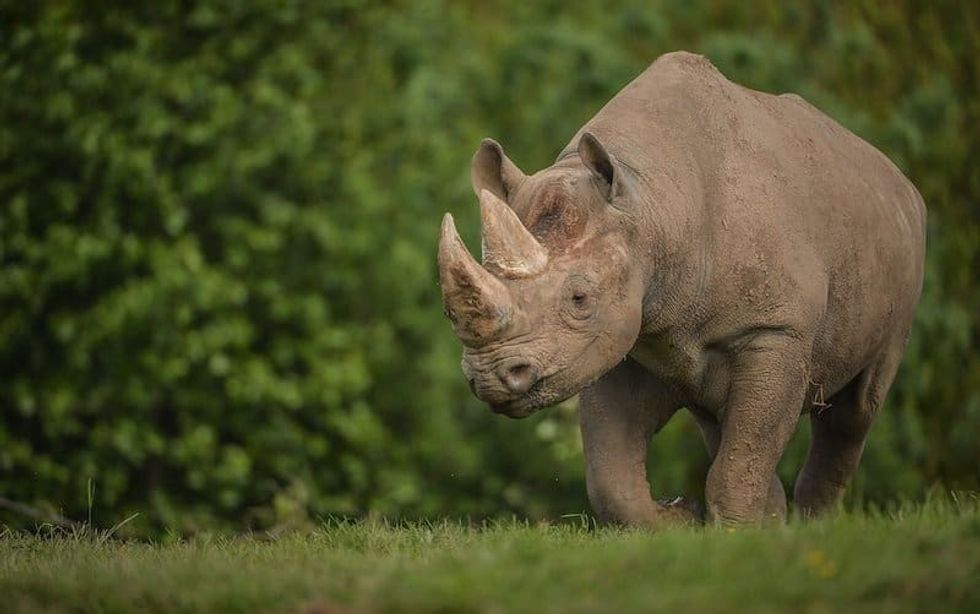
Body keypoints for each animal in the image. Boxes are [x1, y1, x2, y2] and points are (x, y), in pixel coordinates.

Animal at [437, 51, 926, 525]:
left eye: (580, 299)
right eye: (448, 312)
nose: (489, 377)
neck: (651, 207)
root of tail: (901, 179)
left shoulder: (775, 330)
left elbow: (744, 457)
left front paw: (737, 536)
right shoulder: (617, 341)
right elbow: (612, 479)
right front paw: (683, 518)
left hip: (898, 251)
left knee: (854, 411)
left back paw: (814, 527)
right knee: (717, 417)